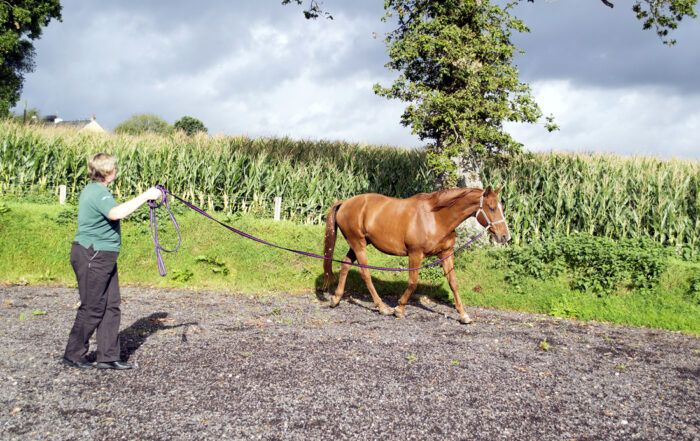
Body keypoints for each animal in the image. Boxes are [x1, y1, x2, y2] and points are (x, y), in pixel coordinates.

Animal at [322, 186, 511, 324]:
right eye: (492, 208)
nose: (505, 236)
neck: (436, 218)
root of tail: (345, 203)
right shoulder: (415, 254)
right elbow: (413, 283)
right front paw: (399, 309)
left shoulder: (446, 253)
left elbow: (453, 283)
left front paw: (464, 315)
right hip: (358, 244)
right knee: (365, 273)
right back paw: (382, 307)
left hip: (356, 245)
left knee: (345, 264)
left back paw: (336, 299)